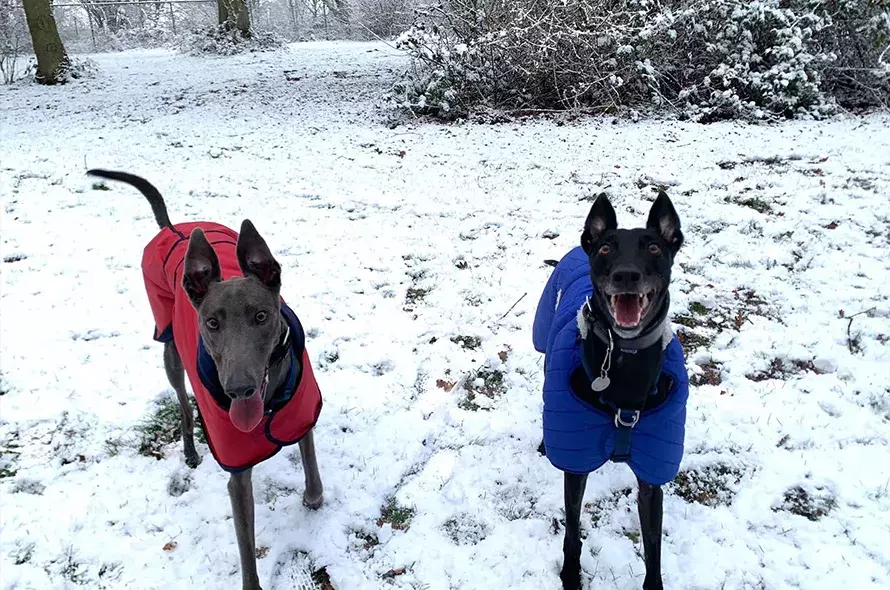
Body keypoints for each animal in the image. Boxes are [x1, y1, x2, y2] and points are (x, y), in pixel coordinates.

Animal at [532, 194, 692, 590]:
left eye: (653, 246)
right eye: (606, 248)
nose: (626, 276)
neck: (624, 361)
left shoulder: (653, 472)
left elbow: (653, 547)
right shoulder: (575, 463)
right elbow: (572, 530)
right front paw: (570, 576)